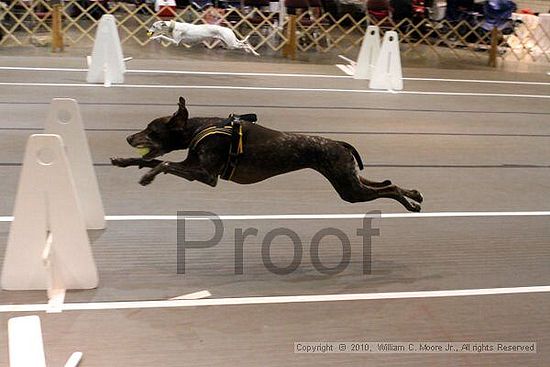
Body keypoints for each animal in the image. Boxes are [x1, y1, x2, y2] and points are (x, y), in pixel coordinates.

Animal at [111, 98, 422, 211]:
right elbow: (150, 159)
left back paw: (409, 203)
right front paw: (124, 161)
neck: (201, 127)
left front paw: (148, 177)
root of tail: (339, 143)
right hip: (349, 178)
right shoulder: (191, 166)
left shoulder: (204, 175)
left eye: (151, 130)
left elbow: (162, 162)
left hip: (349, 188)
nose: (128, 137)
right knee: (387, 182)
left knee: (389, 188)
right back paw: (414, 195)